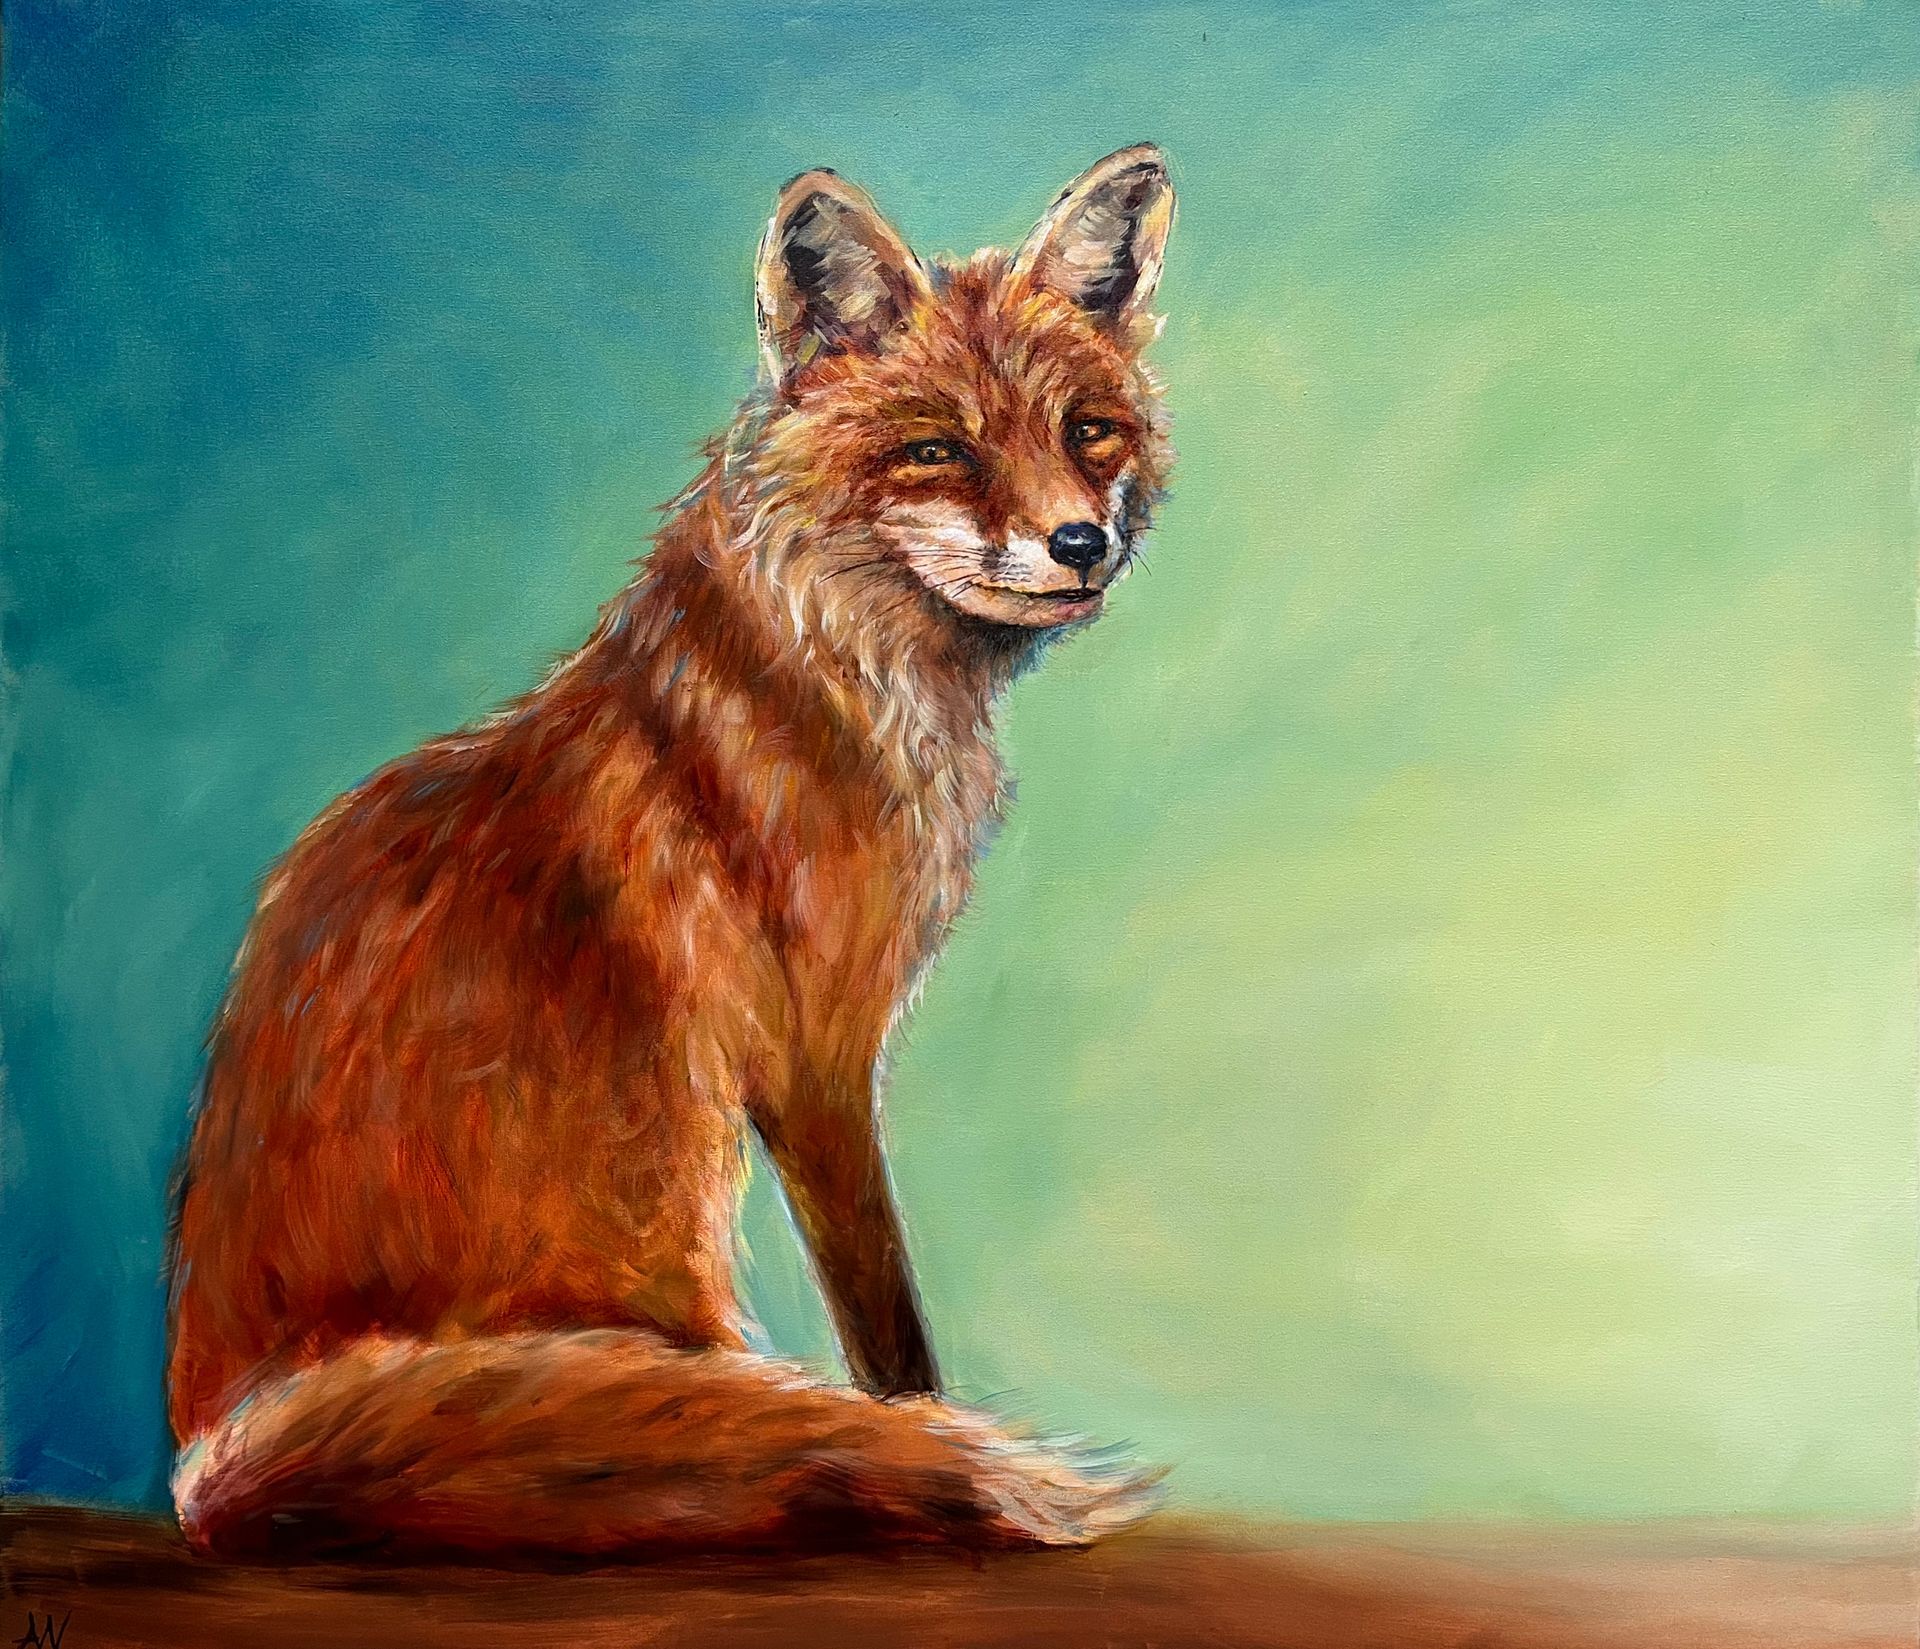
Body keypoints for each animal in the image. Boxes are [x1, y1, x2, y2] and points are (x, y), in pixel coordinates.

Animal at [166, 144, 1177, 1561]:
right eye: (937, 449)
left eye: (1088, 430)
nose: (1081, 543)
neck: (817, 670)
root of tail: (217, 1453)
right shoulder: (817, 1053)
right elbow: (889, 1330)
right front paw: (929, 1430)